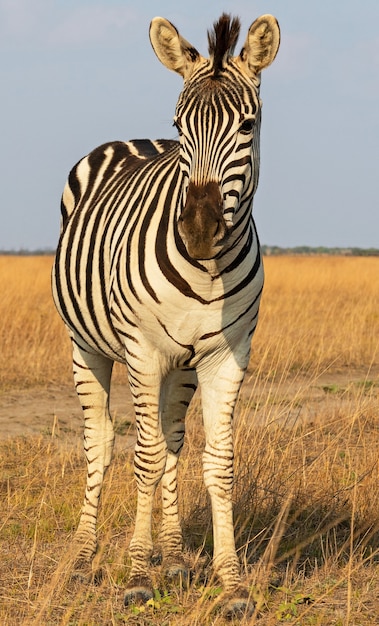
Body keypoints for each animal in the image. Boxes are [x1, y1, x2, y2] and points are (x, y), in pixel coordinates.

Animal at [52, 12, 280, 612]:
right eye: (181, 128)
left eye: (249, 125)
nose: (198, 229)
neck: (206, 271)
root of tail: (131, 140)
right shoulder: (142, 351)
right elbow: (144, 456)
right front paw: (136, 576)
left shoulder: (227, 354)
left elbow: (216, 461)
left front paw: (231, 583)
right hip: (87, 348)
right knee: (103, 441)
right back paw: (83, 560)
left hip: (182, 365)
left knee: (174, 437)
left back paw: (174, 558)